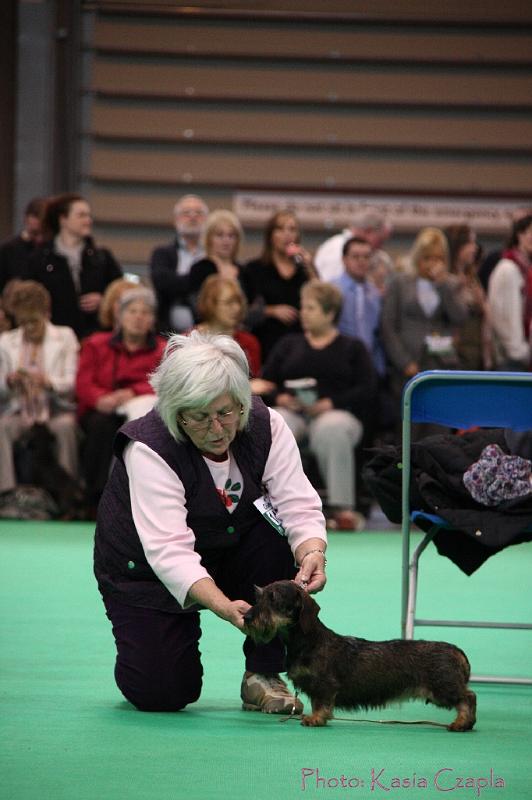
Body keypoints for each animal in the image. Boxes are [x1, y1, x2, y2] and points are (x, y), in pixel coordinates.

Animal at [243, 580, 476, 732]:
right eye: (259, 596)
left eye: (274, 598)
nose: (246, 617)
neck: (309, 642)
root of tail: (455, 650)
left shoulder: (324, 686)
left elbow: (320, 704)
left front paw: (315, 719)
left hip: (441, 688)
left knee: (468, 696)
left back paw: (462, 723)